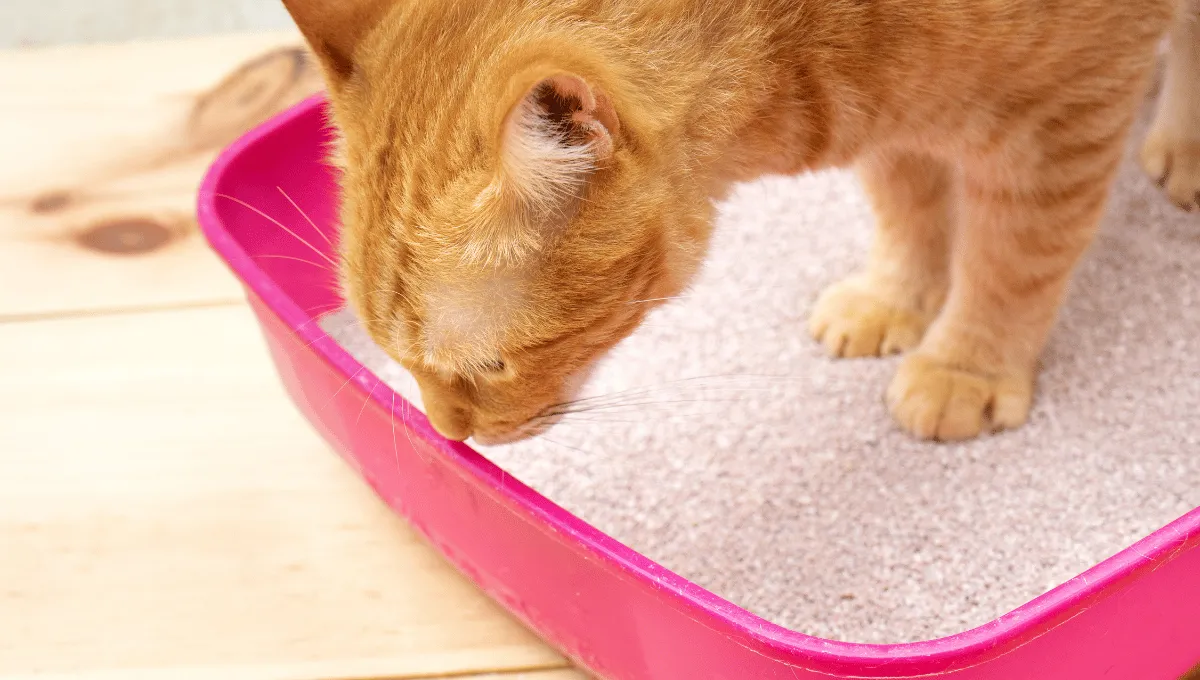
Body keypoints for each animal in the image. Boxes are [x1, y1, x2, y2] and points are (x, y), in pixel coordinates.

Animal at [278, 0, 1200, 446]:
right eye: (394, 359)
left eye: (491, 364)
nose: (447, 434)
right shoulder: (896, 113)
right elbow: (909, 205)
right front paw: (896, 296)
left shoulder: (1066, 119)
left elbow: (1012, 261)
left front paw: (965, 364)